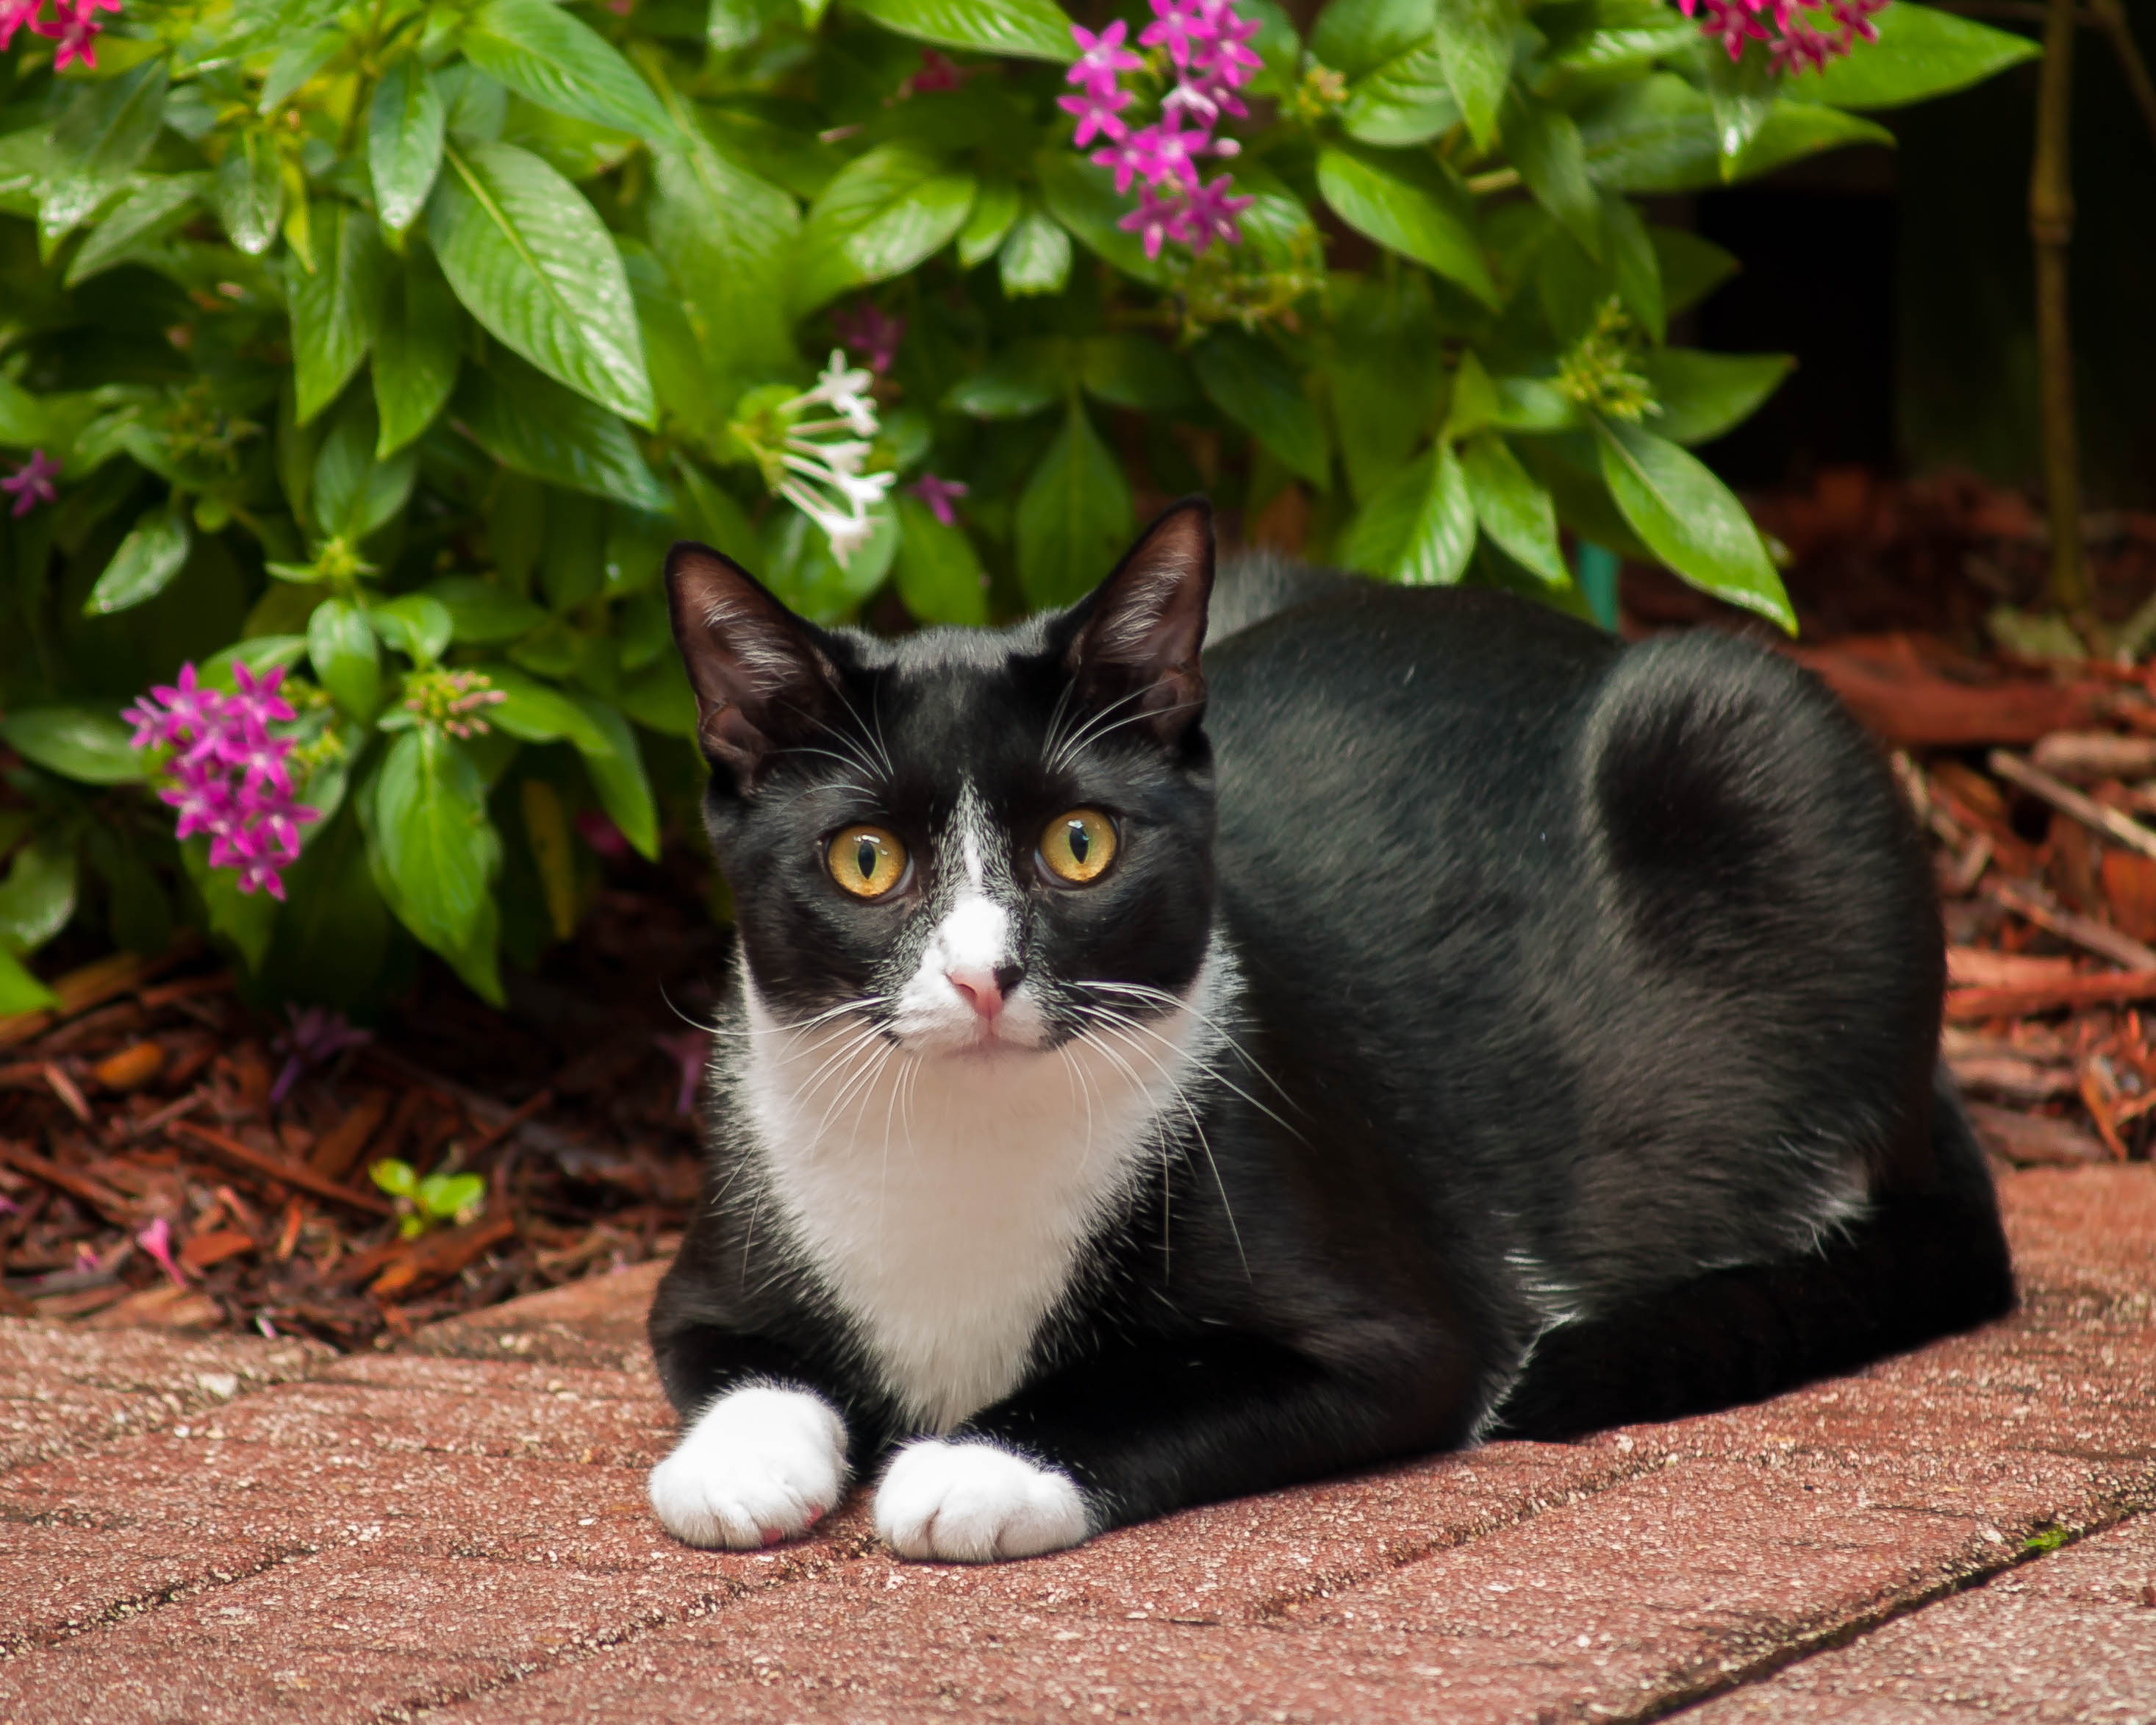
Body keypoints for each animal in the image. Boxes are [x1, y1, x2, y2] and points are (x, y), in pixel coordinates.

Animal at [646, 498, 2009, 1561]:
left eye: (1079, 844)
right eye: (865, 859)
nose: (984, 975)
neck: (964, 1141)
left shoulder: (1396, 1319)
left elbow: (1165, 1376)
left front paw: (976, 1464)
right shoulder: (712, 1258)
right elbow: (731, 1353)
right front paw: (736, 1462)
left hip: (1755, 743)